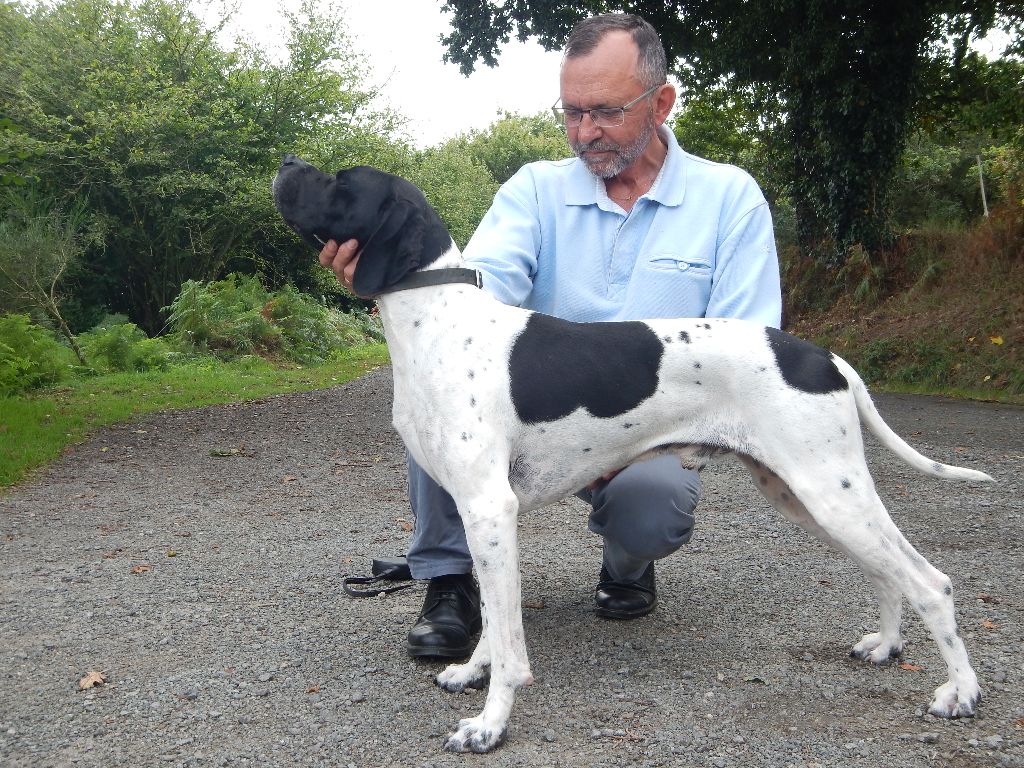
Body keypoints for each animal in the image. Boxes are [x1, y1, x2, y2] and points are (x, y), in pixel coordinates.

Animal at [272, 153, 991, 753]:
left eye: (341, 180)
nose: (286, 162)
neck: (437, 319)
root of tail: (824, 356)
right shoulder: (478, 515)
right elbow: (492, 622)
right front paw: (472, 670)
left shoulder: (490, 508)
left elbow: (510, 644)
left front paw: (489, 724)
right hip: (808, 496)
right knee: (888, 574)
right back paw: (887, 646)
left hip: (828, 492)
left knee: (931, 582)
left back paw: (959, 692)